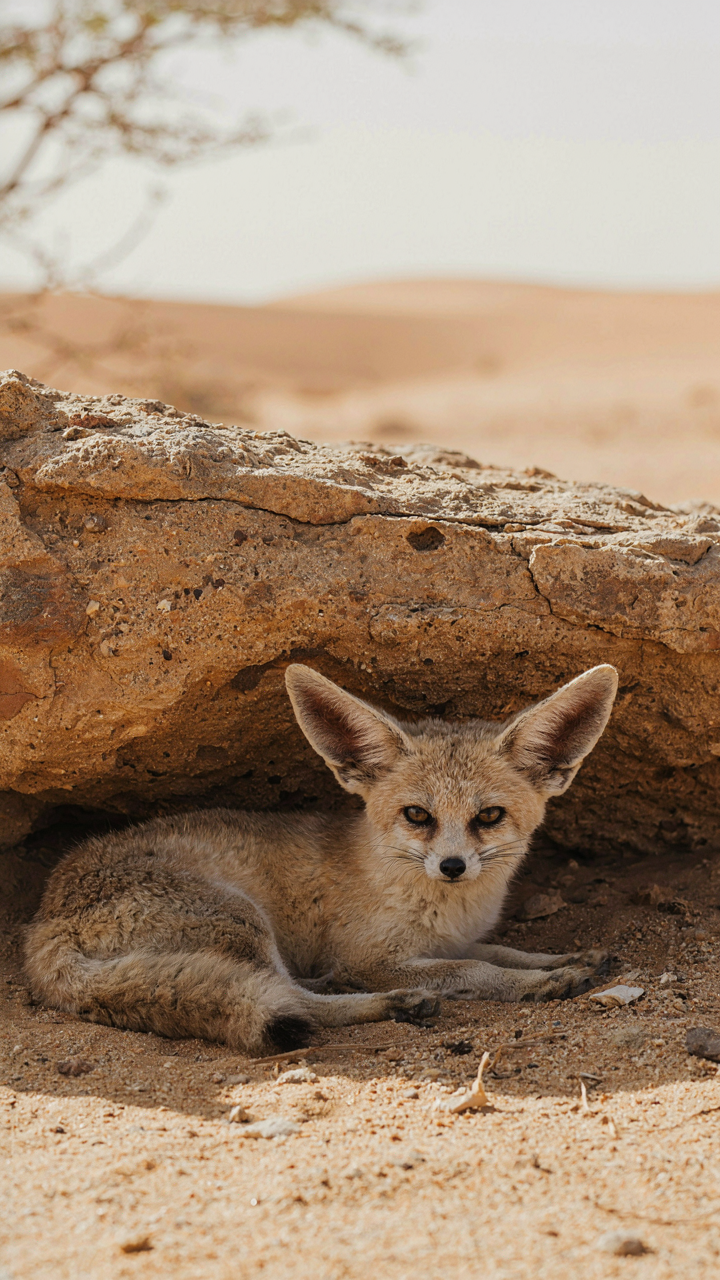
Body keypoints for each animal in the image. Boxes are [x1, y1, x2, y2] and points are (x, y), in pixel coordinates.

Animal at [24, 662, 618, 1055]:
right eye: (417, 815)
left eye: (489, 816)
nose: (452, 867)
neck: (447, 910)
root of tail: (41, 924)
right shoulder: (368, 958)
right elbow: (476, 968)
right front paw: (536, 985)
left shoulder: (455, 939)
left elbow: (503, 951)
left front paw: (564, 960)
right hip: (242, 918)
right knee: (293, 1000)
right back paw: (395, 1003)